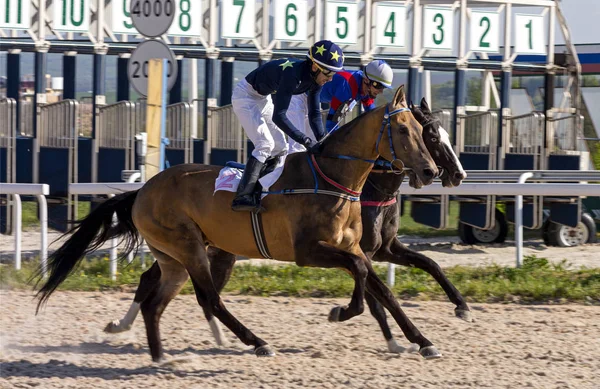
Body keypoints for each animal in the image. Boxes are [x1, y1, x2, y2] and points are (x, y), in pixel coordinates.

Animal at [36, 85, 440, 360]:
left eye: (423, 131)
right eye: (404, 131)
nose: (431, 171)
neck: (333, 178)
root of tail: (143, 190)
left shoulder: (353, 246)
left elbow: (378, 285)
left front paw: (421, 340)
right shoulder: (308, 251)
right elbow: (361, 273)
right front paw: (342, 311)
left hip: (177, 257)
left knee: (157, 297)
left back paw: (159, 352)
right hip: (189, 248)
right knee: (209, 298)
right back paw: (256, 342)